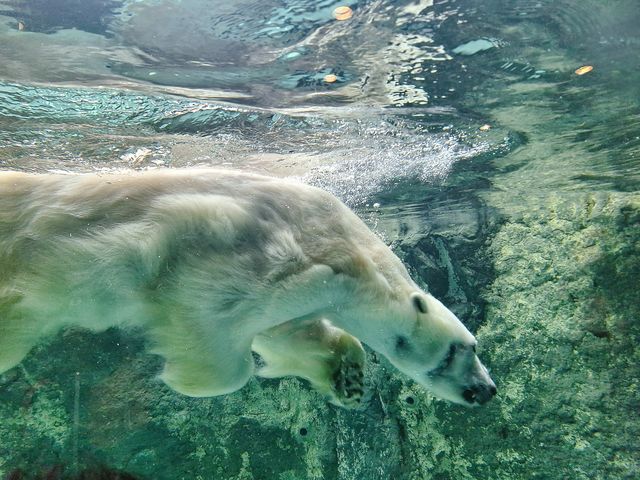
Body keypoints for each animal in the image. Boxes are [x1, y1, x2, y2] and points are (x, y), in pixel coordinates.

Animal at [0, 171, 498, 406]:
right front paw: (190, 377)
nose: (487, 390)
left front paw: (348, 379)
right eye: (461, 349)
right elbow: (208, 315)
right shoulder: (282, 262)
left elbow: (286, 335)